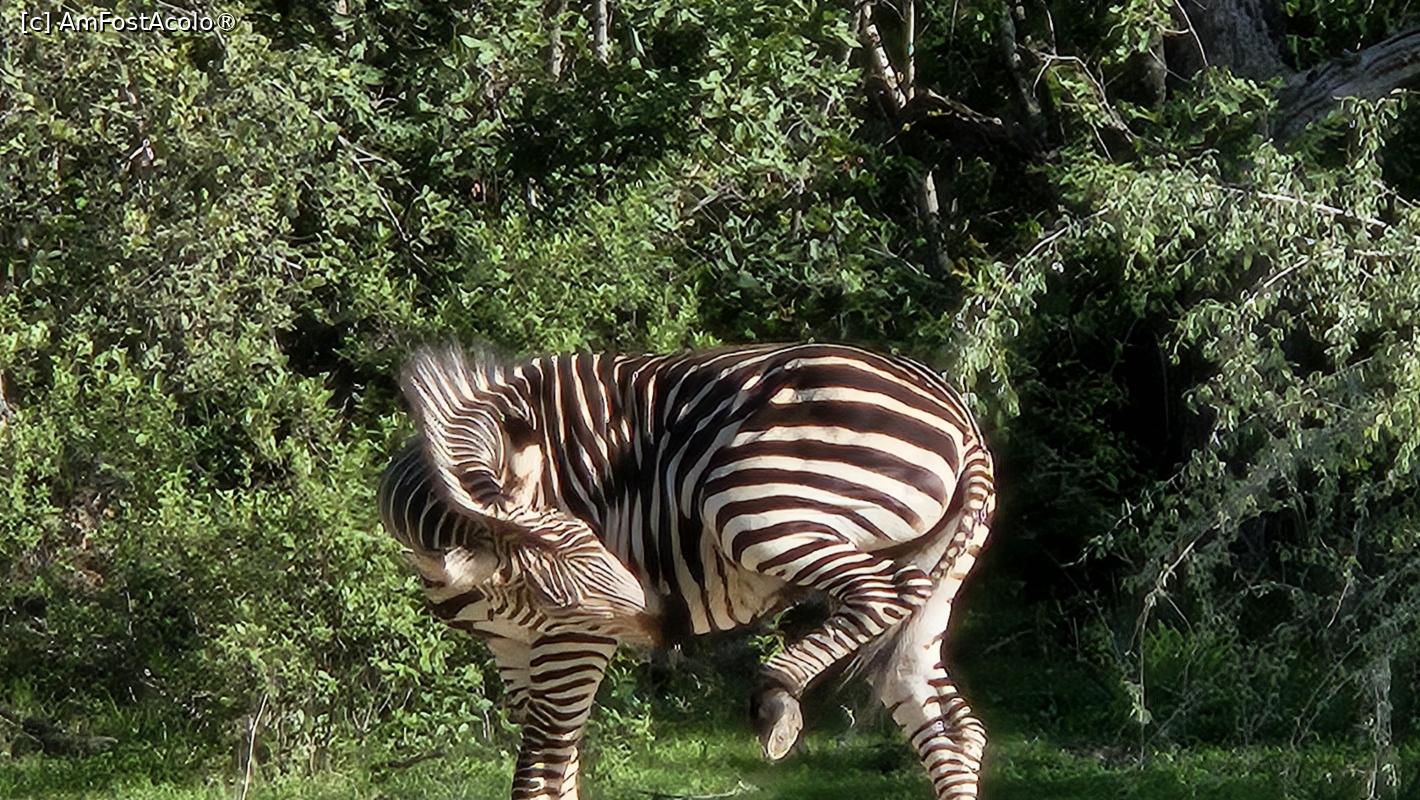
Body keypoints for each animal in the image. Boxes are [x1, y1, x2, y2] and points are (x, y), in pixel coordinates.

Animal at [377, 342, 997, 800]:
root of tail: (958, 414)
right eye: (555, 591)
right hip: (930, 567)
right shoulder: (512, 645)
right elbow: (557, 769)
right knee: (952, 728)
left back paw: (777, 696)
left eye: (603, 543)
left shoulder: (574, 639)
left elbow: (542, 772)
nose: (663, 624)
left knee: (883, 592)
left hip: (757, 505)